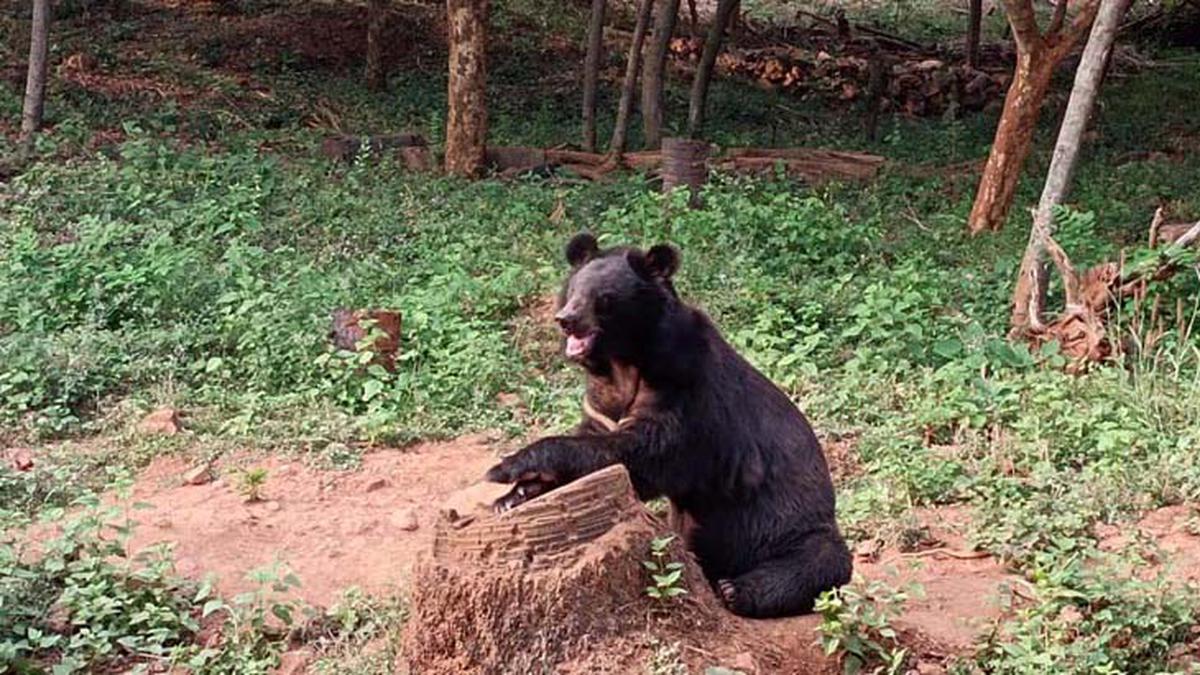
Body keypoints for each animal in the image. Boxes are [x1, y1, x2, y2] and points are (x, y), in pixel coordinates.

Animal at [487, 230, 854, 614]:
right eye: (573, 289)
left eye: (603, 297)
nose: (566, 318)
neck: (623, 363)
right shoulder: (600, 405)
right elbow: (595, 438)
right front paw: (513, 496)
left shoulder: (684, 392)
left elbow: (649, 452)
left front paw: (505, 467)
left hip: (797, 526)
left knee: (816, 563)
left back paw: (735, 589)